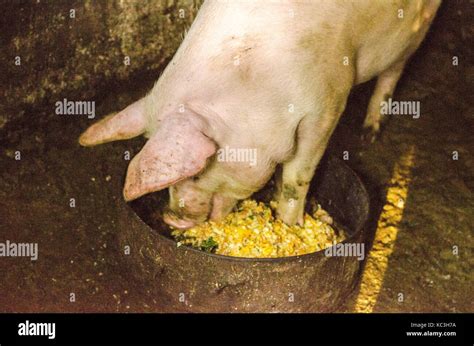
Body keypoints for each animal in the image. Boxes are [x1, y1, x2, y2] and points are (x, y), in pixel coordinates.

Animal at [78, 0, 440, 230]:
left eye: (196, 173)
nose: (171, 217)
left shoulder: (327, 103)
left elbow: (298, 176)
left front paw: (290, 225)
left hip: (416, 29)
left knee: (395, 69)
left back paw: (371, 131)